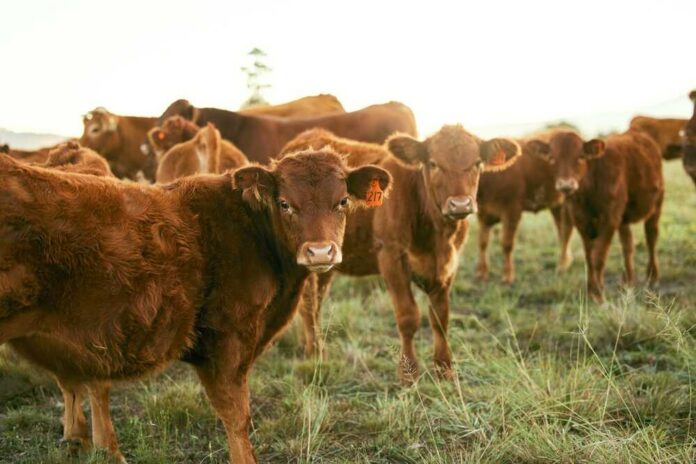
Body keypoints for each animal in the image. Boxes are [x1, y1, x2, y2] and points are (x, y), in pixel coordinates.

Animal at [280, 126, 520, 381]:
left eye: (477, 163)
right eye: (433, 163)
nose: (460, 204)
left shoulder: (448, 265)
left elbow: (441, 317)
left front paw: (444, 369)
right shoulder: (391, 256)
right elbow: (408, 316)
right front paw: (408, 373)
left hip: (327, 260)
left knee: (317, 301)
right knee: (308, 303)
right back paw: (315, 353)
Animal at [475, 131, 574, 284]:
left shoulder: (512, 210)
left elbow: (507, 243)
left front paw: (508, 275)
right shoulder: (483, 213)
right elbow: (482, 242)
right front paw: (482, 273)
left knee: (566, 231)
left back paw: (562, 265)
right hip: (557, 205)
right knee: (562, 231)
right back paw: (565, 262)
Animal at [526, 130, 663, 303]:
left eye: (581, 157)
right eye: (551, 158)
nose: (566, 185)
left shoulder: (609, 220)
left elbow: (598, 257)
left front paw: (598, 295)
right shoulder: (581, 221)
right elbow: (589, 257)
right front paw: (591, 291)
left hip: (657, 203)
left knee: (651, 237)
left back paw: (652, 277)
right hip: (623, 217)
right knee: (628, 245)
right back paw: (628, 281)